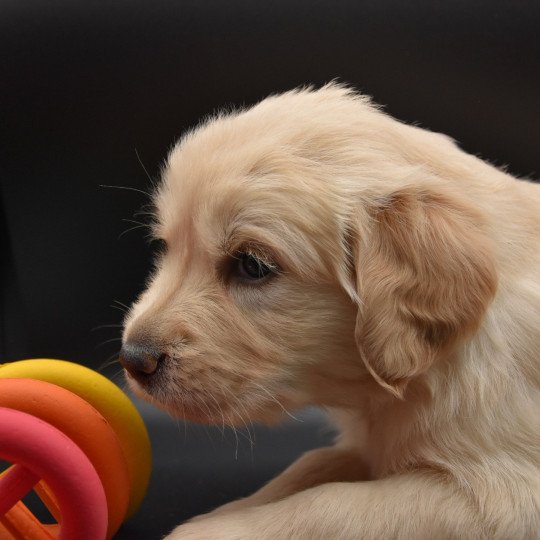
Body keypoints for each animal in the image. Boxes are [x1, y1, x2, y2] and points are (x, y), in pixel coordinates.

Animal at [120, 85, 536, 540]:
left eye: (252, 265)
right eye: (169, 248)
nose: (132, 358)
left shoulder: (502, 497)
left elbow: (334, 504)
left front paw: (211, 531)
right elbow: (313, 463)